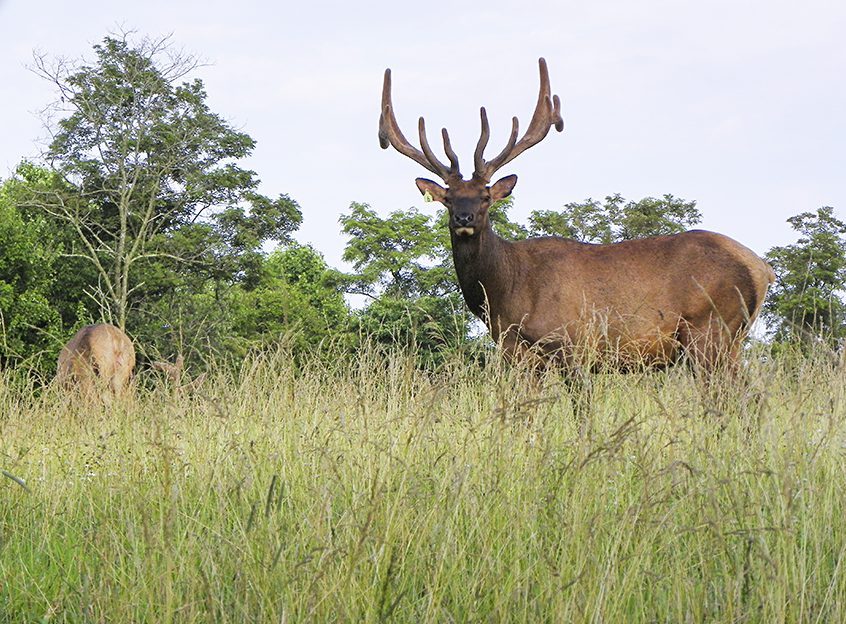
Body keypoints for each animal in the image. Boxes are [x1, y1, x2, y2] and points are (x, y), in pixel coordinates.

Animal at [380, 58, 780, 378]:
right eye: (448, 199)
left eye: (485, 197)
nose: (464, 217)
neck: (507, 293)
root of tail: (762, 268)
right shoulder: (517, 354)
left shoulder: (575, 344)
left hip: (711, 330)